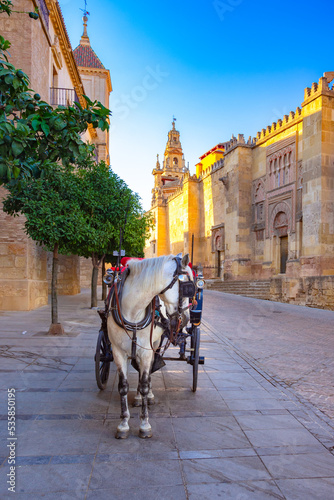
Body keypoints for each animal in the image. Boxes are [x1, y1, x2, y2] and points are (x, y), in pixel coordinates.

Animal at [108, 254, 192, 438]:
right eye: (189, 287)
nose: (187, 319)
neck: (133, 310)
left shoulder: (146, 351)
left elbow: (145, 382)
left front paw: (144, 424)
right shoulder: (117, 351)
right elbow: (123, 386)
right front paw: (123, 424)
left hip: (155, 343)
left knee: (148, 370)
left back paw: (147, 396)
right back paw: (139, 397)